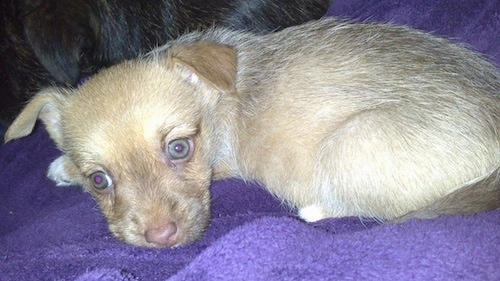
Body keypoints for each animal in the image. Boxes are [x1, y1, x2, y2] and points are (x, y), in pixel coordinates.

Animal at [4, 19, 500, 247]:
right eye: (99, 180)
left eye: (179, 148)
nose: (162, 238)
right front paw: (64, 164)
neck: (218, 98)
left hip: (352, 144)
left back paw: (313, 209)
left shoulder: (220, 163)